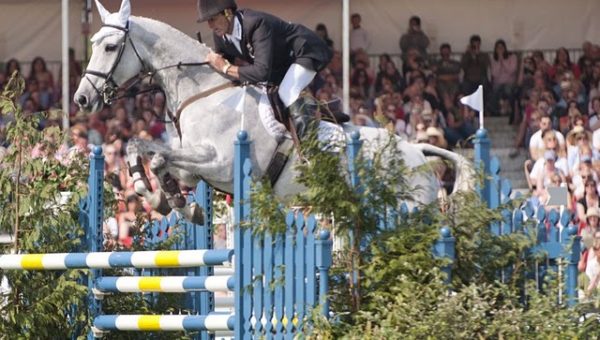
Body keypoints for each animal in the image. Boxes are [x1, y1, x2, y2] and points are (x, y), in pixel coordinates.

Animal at [72, 0, 474, 222]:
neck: (202, 92)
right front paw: (163, 198)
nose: (81, 100)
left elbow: (156, 156)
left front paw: (170, 200)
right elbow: (143, 150)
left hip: (408, 209)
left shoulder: (221, 163)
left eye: (110, 47)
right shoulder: (194, 164)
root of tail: (417, 151)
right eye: (92, 42)